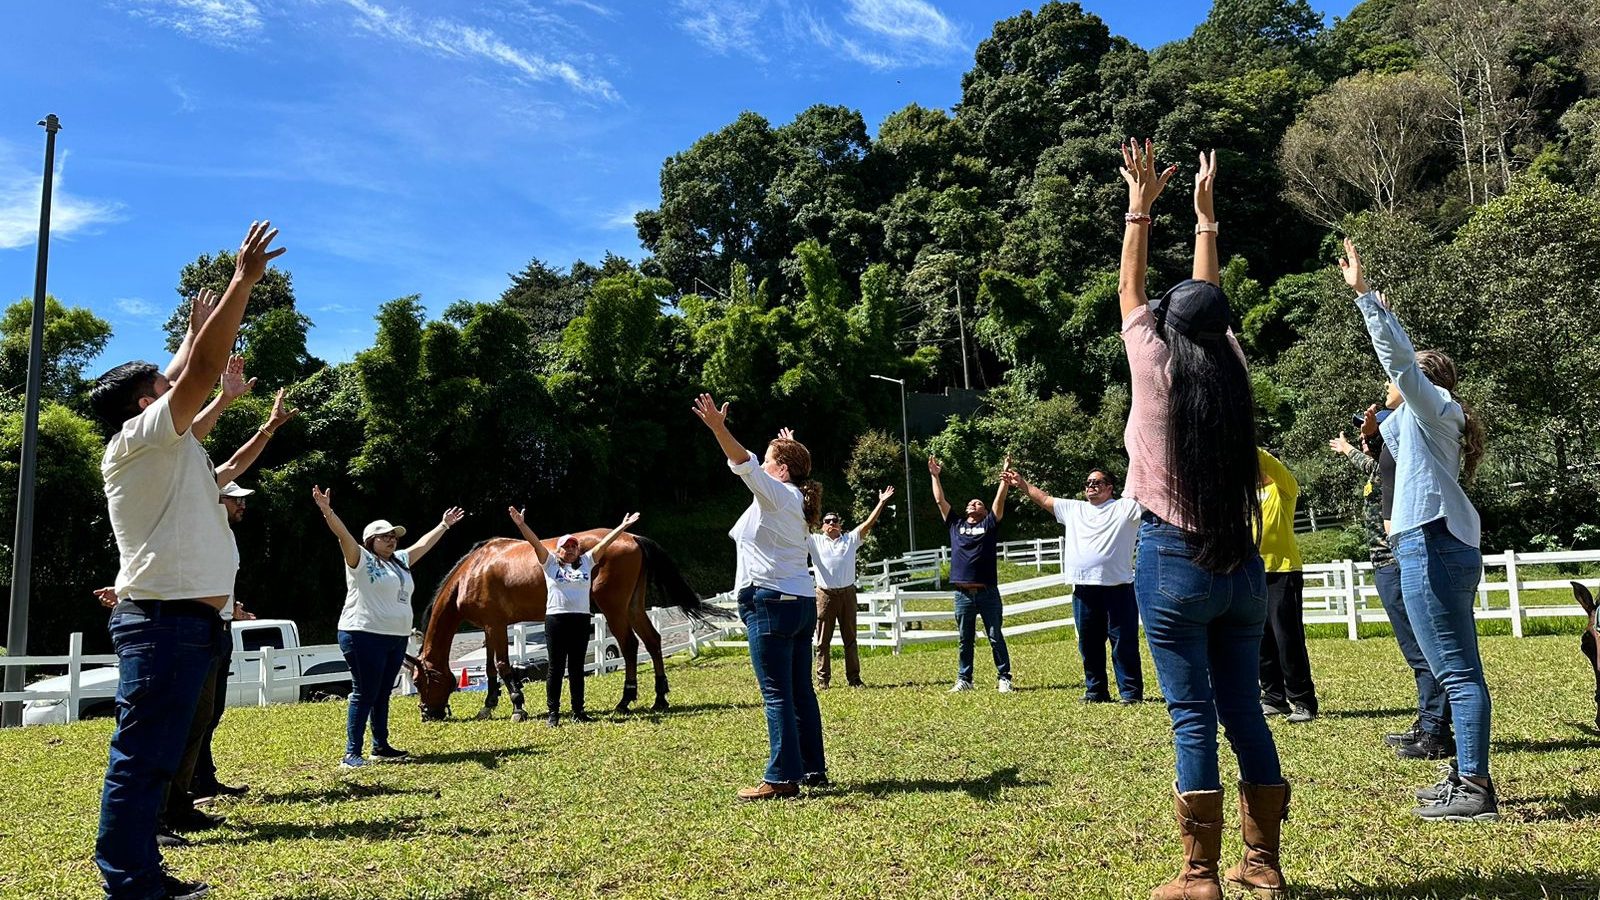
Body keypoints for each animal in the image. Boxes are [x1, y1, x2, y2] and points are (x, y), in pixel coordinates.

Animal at [406, 528, 726, 717]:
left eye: (420, 681)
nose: (427, 713)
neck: (472, 571)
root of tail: (631, 537)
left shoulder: (495, 625)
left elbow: (502, 665)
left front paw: (517, 705)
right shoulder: (488, 626)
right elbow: (489, 667)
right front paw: (489, 705)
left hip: (614, 609)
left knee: (630, 646)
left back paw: (625, 700)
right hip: (633, 607)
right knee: (653, 641)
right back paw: (660, 698)